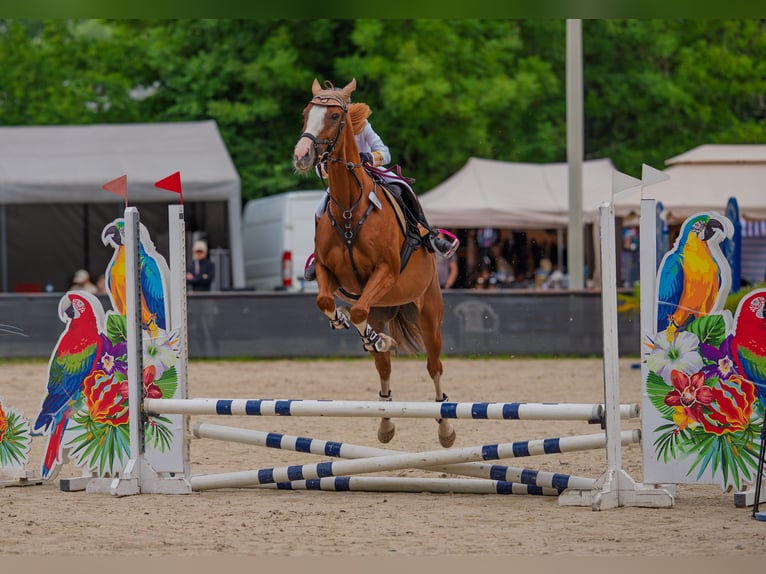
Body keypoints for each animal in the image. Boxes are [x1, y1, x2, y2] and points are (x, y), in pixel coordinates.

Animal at [292, 78, 455, 448]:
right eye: (307, 112)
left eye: (335, 115)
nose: (302, 155)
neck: (349, 209)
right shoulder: (328, 273)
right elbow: (330, 303)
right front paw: (343, 321)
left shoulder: (386, 272)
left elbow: (356, 312)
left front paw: (371, 335)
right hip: (385, 310)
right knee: (383, 367)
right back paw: (385, 422)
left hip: (429, 313)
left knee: (434, 367)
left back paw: (445, 428)